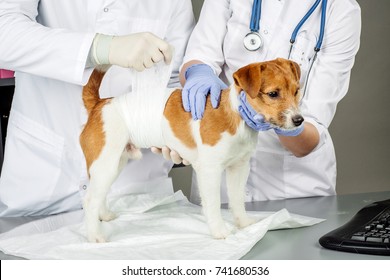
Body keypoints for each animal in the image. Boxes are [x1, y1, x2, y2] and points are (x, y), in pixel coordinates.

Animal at [79, 57, 304, 243]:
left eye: (296, 91)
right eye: (273, 94)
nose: (299, 120)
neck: (236, 115)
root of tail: (99, 104)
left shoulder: (239, 168)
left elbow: (237, 199)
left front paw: (243, 223)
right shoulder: (210, 171)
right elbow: (213, 204)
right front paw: (220, 231)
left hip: (114, 163)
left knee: (100, 193)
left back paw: (104, 215)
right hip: (106, 163)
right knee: (89, 199)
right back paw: (95, 235)